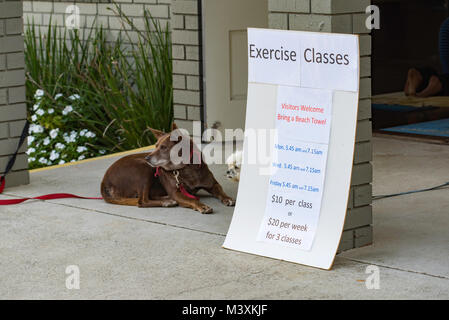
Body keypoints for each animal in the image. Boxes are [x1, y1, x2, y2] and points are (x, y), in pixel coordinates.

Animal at [101, 124, 234, 212]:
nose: (147, 158)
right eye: (155, 146)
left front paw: (228, 198)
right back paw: (167, 202)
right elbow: (192, 200)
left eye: (163, 147)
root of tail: (104, 180)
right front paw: (202, 206)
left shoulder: (213, 184)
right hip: (143, 169)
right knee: (142, 201)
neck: (186, 168)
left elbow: (221, 191)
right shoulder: (176, 192)